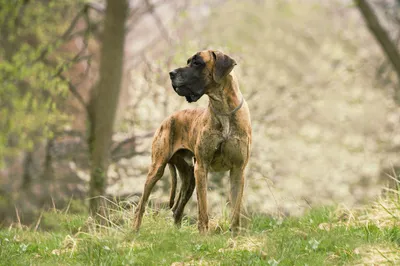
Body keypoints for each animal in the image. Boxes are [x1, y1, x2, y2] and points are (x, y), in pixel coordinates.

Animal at [133, 50, 252, 235]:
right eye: (188, 61)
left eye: (197, 62)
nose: (171, 73)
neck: (223, 108)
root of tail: (168, 118)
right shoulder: (202, 168)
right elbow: (203, 208)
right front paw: (204, 235)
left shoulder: (238, 171)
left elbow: (235, 212)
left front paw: (234, 236)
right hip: (158, 169)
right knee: (141, 205)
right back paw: (134, 232)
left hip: (189, 178)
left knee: (177, 210)